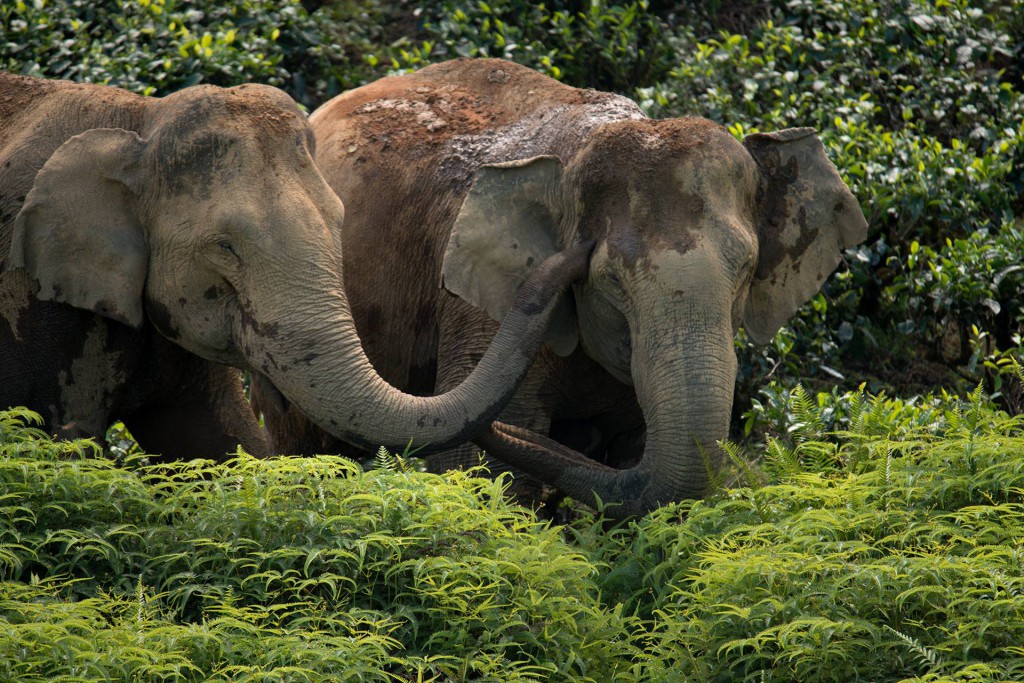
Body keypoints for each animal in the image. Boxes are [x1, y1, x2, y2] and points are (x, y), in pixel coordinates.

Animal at [0, 70, 593, 458]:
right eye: (225, 247)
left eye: (340, 222)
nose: (578, 250)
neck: (140, 119)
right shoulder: (32, 298)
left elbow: (220, 445)